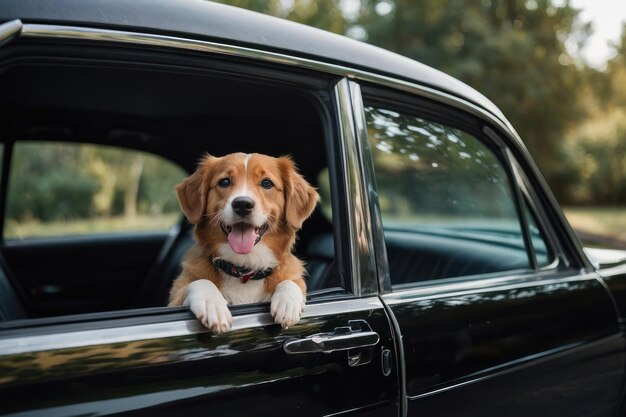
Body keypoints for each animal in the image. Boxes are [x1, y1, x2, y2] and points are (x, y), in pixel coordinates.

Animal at [167, 153, 316, 332]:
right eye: (224, 181)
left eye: (267, 183)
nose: (242, 204)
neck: (244, 268)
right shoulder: (176, 298)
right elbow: (201, 282)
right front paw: (212, 305)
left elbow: (292, 281)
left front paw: (288, 302)